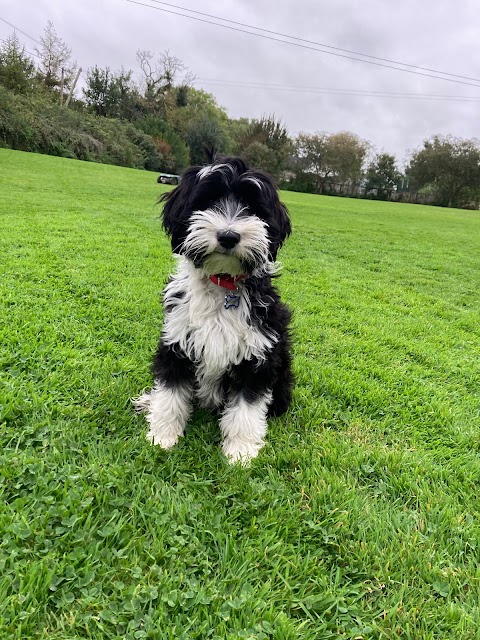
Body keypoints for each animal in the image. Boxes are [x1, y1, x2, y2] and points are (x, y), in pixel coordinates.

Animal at [133, 158, 294, 462]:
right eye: (207, 201)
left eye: (251, 207)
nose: (228, 236)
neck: (223, 281)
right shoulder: (177, 342)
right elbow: (170, 394)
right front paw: (163, 437)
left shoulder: (257, 357)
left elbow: (246, 408)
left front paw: (241, 452)